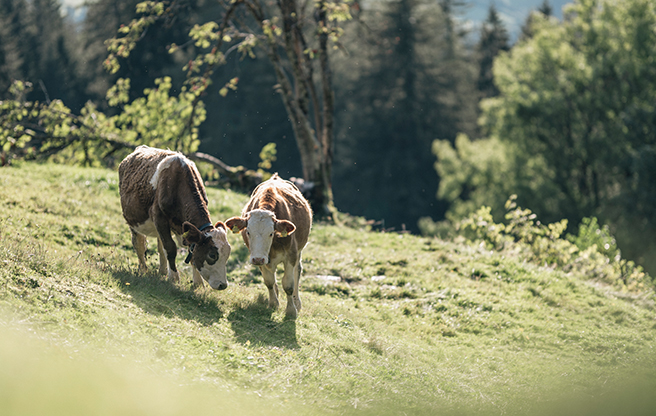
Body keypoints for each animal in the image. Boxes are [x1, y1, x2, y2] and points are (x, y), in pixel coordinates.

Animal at [119, 145, 232, 290]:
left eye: (227, 254)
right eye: (212, 255)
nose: (223, 285)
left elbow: (189, 249)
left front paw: (198, 283)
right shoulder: (159, 218)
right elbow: (170, 248)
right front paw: (174, 278)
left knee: (160, 247)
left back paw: (162, 272)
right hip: (133, 221)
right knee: (139, 244)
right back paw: (143, 270)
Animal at [226, 173, 312, 318]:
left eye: (271, 233)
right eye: (248, 232)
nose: (258, 259)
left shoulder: (291, 255)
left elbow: (288, 285)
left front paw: (291, 311)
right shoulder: (259, 257)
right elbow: (269, 282)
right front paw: (273, 304)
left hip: (299, 251)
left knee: (297, 271)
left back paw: (297, 302)